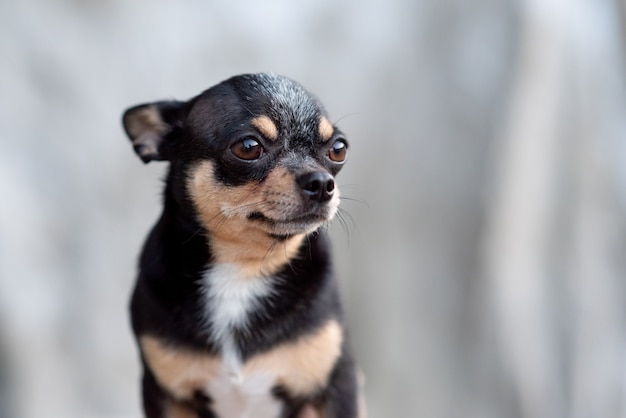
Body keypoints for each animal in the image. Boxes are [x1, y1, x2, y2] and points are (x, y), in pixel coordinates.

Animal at [120, 74, 360, 418]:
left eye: (339, 149)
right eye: (248, 148)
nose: (322, 183)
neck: (243, 269)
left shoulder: (338, 388)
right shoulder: (166, 397)